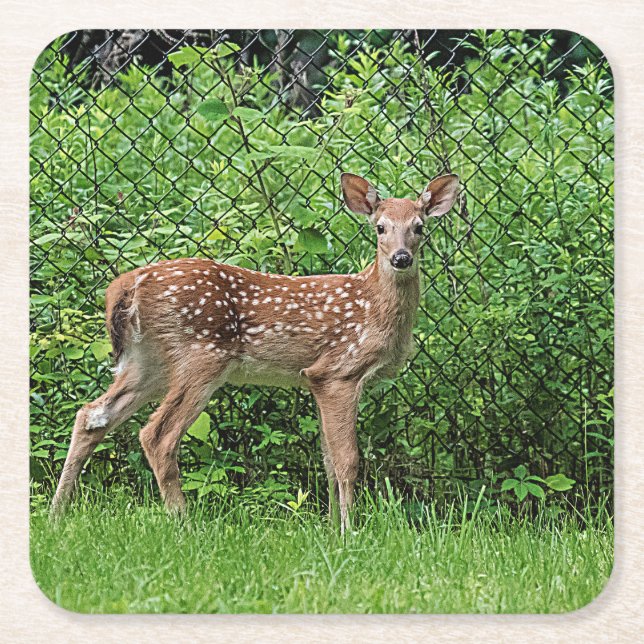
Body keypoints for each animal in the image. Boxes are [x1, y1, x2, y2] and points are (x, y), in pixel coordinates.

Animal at [51, 172, 459, 533]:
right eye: (380, 228)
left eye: (419, 227)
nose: (401, 258)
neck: (372, 306)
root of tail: (127, 285)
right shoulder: (339, 371)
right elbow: (348, 460)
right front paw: (349, 531)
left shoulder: (314, 379)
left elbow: (327, 460)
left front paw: (331, 530)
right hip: (200, 355)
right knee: (157, 435)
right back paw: (184, 524)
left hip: (148, 362)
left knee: (92, 415)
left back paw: (58, 513)